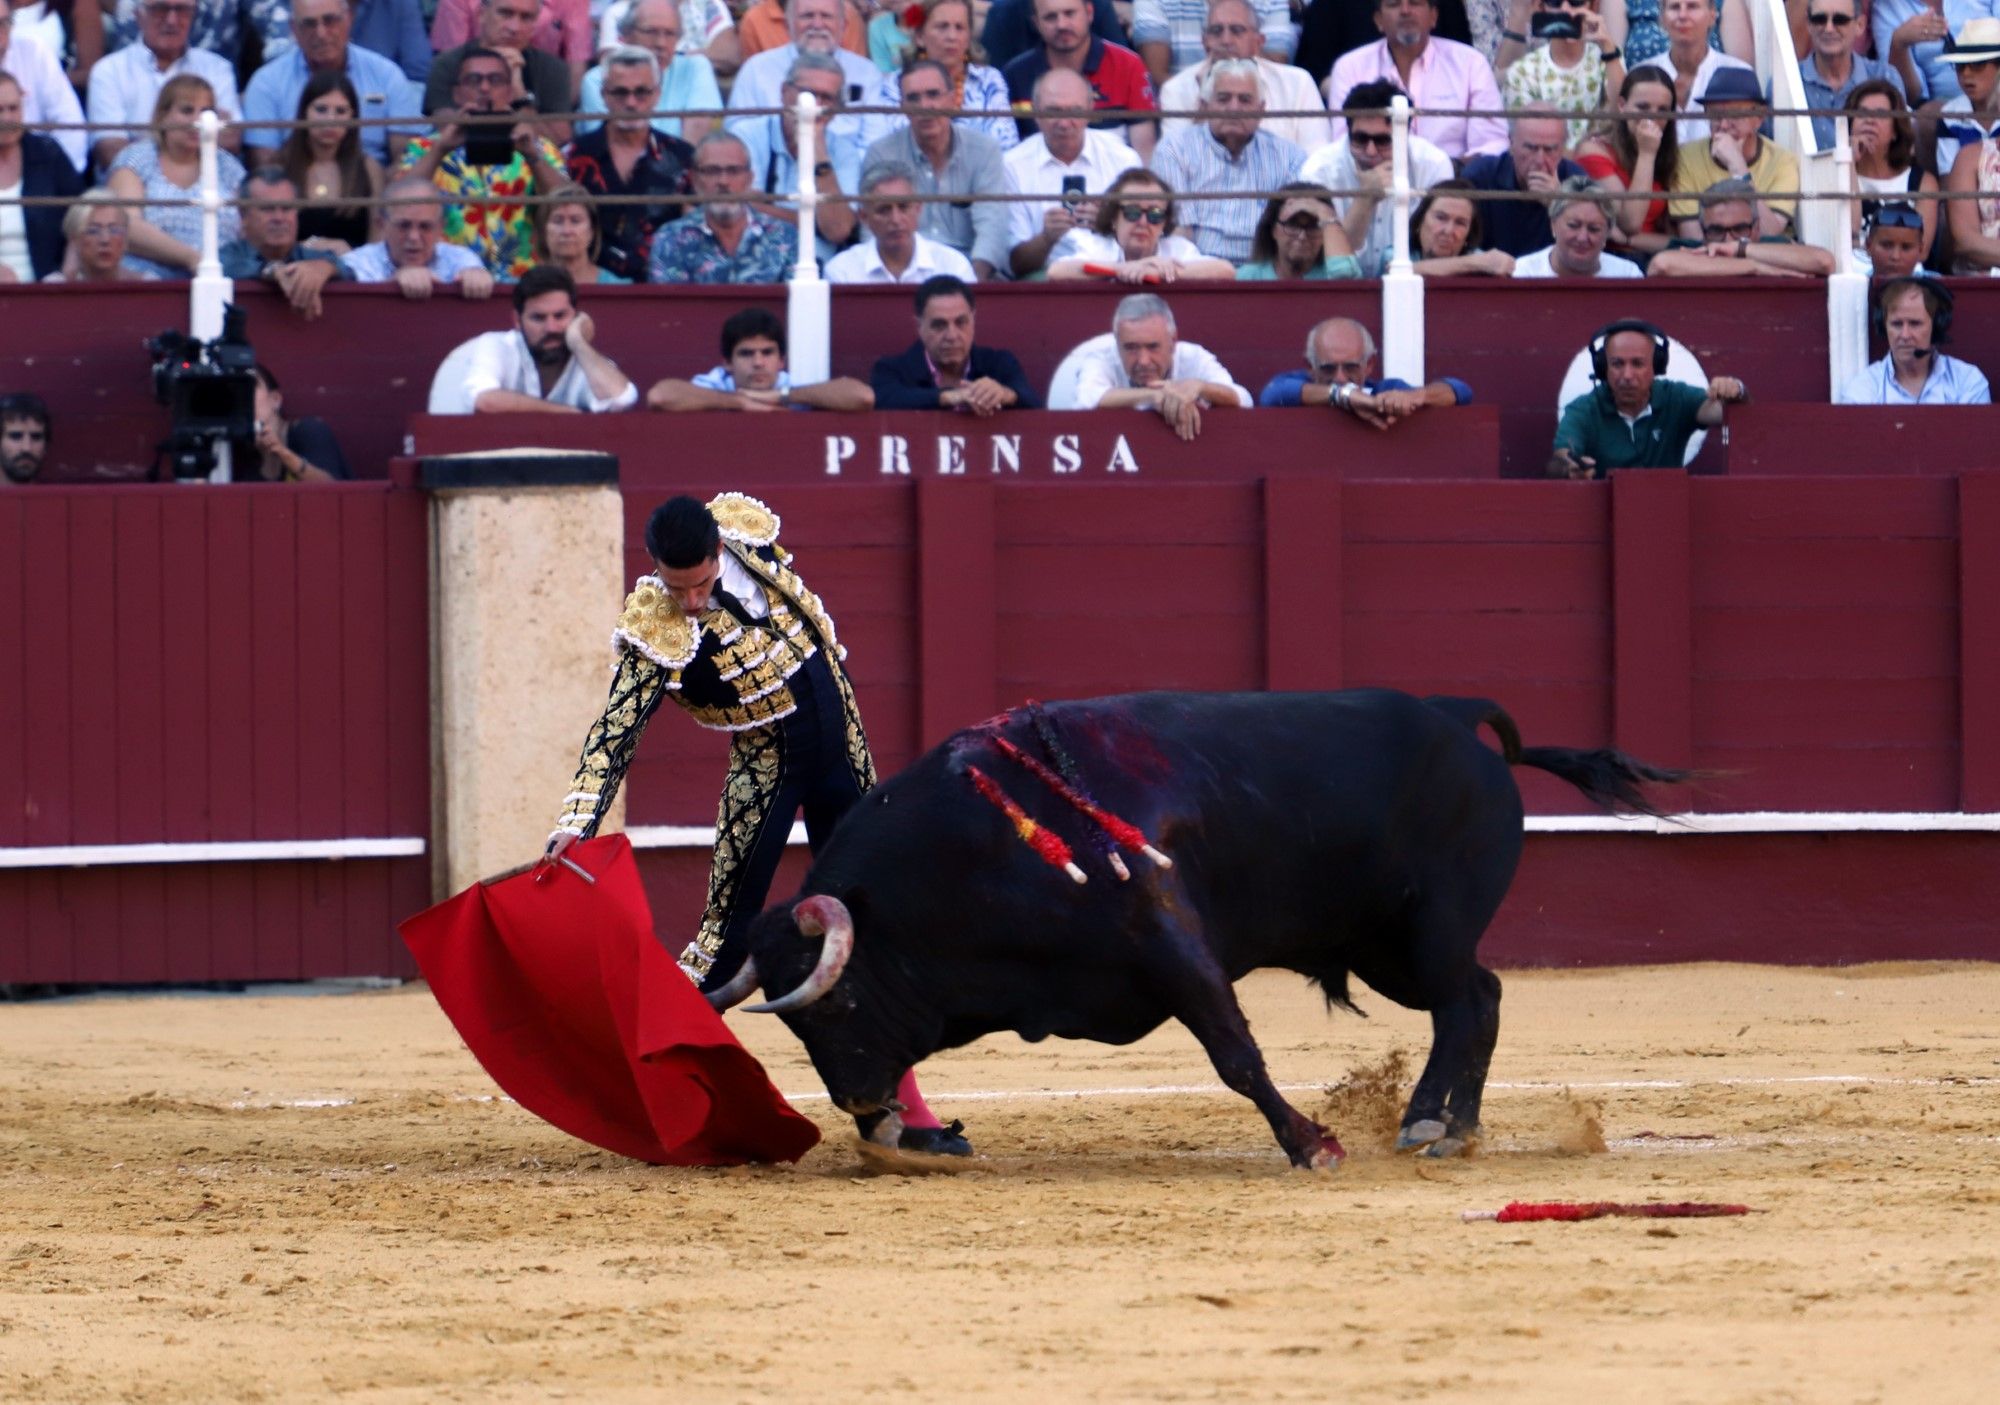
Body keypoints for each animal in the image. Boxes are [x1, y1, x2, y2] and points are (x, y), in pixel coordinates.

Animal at [712, 692, 1680, 1168]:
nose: (859, 1106)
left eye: (834, 1007)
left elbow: (1235, 1054)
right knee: (1469, 1003)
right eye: (796, 1027)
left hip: (1427, 934)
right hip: (1384, 947)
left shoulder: (1169, 941)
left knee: (1471, 1001)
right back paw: (1435, 1124)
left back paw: (1440, 1128)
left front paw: (1313, 1144)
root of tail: (1464, 727)